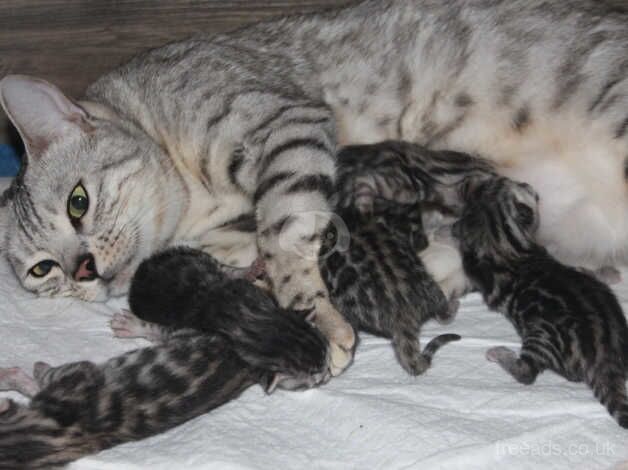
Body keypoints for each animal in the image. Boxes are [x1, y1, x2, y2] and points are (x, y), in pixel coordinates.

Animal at [452, 176, 628, 430]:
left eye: (504, 182)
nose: (527, 183)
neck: (506, 244)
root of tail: (606, 357)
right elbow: (582, 269)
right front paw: (608, 273)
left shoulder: (481, 272)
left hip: (543, 335)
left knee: (526, 372)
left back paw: (499, 353)